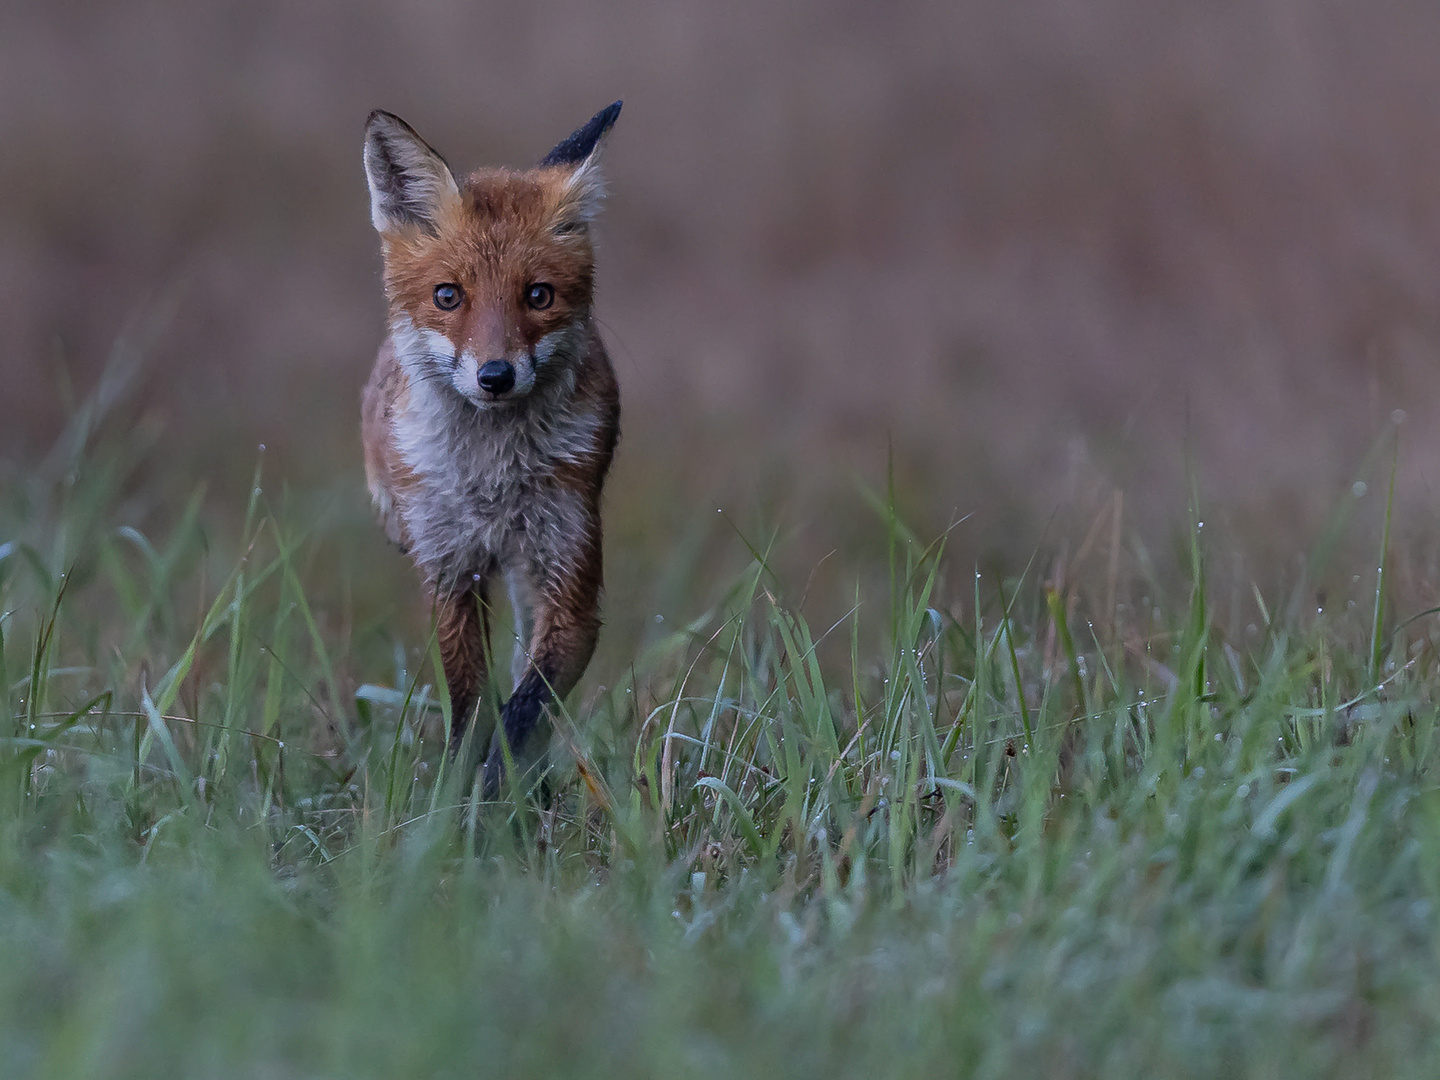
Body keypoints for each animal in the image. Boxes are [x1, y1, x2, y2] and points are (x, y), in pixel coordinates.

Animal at [357, 103, 622, 794]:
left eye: (539, 295)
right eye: (448, 296)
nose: (496, 376)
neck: (492, 483)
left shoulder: (570, 579)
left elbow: (523, 710)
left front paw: (498, 791)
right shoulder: (451, 570)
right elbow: (472, 703)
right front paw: (453, 799)